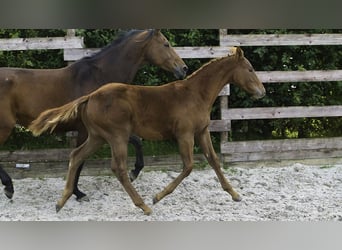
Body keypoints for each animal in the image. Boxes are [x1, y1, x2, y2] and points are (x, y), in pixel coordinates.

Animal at [0, 29, 187, 201]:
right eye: (166, 44)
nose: (183, 68)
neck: (98, 78)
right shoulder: (87, 131)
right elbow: (79, 160)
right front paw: (78, 193)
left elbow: (136, 141)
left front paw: (134, 172)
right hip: (5, 127)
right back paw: (9, 187)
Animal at [29, 47, 264, 215]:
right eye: (250, 69)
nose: (262, 91)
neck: (195, 94)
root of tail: (91, 96)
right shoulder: (185, 134)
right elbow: (188, 166)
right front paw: (157, 197)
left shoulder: (202, 132)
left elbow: (214, 161)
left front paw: (235, 194)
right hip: (117, 136)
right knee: (118, 168)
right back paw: (144, 205)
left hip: (97, 137)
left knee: (76, 156)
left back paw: (62, 200)